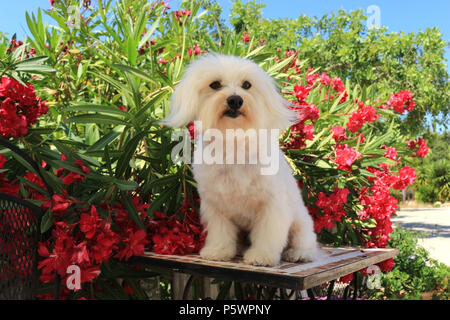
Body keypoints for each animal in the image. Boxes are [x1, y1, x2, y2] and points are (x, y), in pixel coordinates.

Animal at [163, 53, 322, 266]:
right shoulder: (216, 206)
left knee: (305, 241)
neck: (234, 142)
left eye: (247, 85)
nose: (235, 100)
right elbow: (220, 232)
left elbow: (268, 234)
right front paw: (218, 251)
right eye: (215, 84)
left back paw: (298, 253)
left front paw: (261, 256)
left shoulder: (272, 206)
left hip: (300, 222)